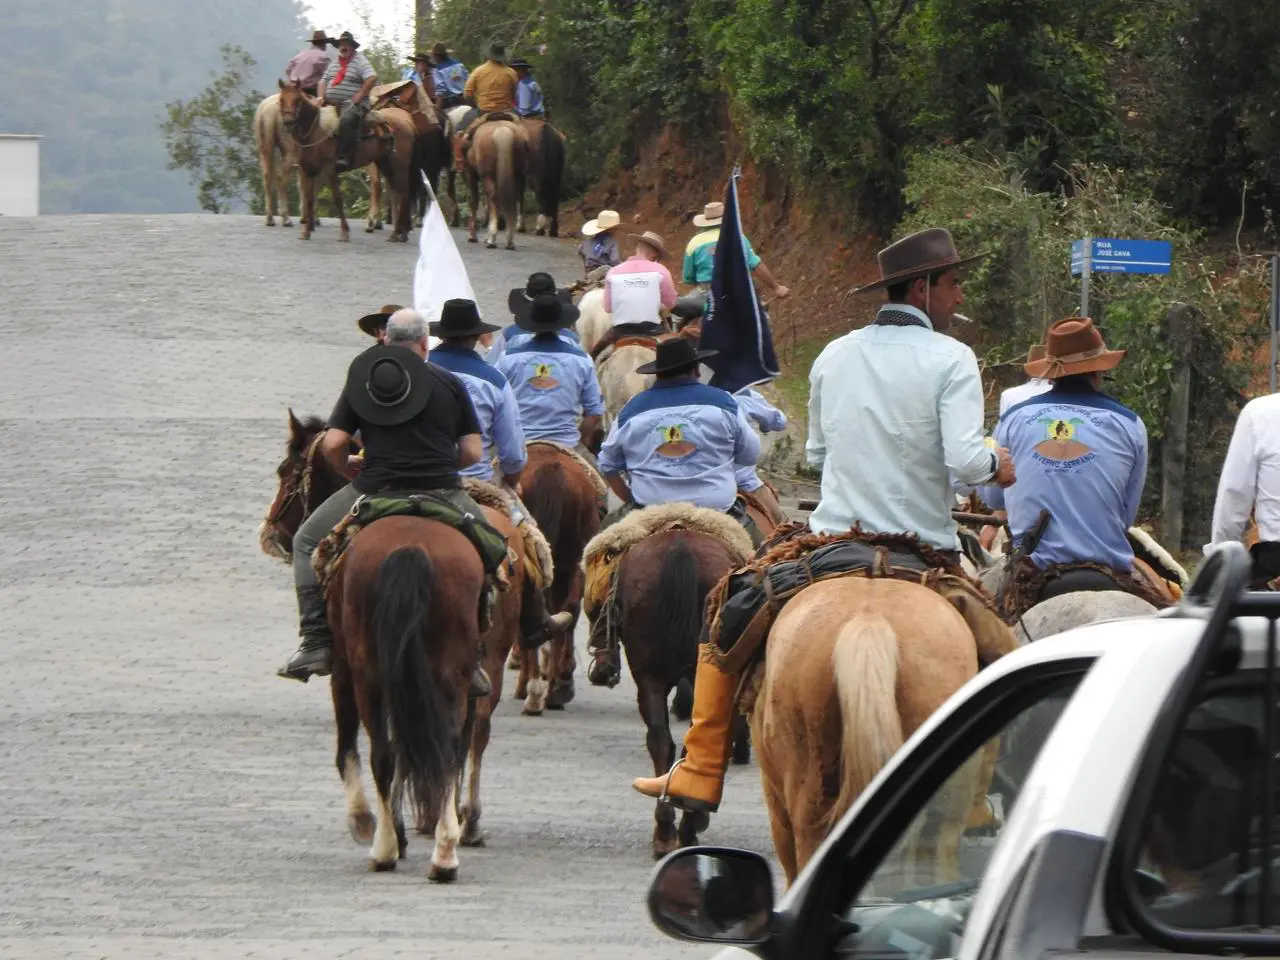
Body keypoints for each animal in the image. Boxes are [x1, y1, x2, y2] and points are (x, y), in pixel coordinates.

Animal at [277, 80, 422, 244]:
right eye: (281, 100)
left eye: (298, 100)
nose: (288, 122)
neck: (315, 131)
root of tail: (407, 122)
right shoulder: (308, 171)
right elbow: (309, 200)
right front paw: (306, 232)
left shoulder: (330, 169)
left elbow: (337, 199)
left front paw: (344, 233)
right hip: (387, 165)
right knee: (399, 193)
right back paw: (400, 233)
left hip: (399, 166)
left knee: (403, 193)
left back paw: (397, 233)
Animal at [463, 119, 527, 249]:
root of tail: (502, 130)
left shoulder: (470, 172)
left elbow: (473, 201)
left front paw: (473, 236)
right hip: (517, 174)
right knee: (513, 199)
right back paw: (509, 240)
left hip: (487, 175)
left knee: (493, 198)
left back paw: (491, 239)